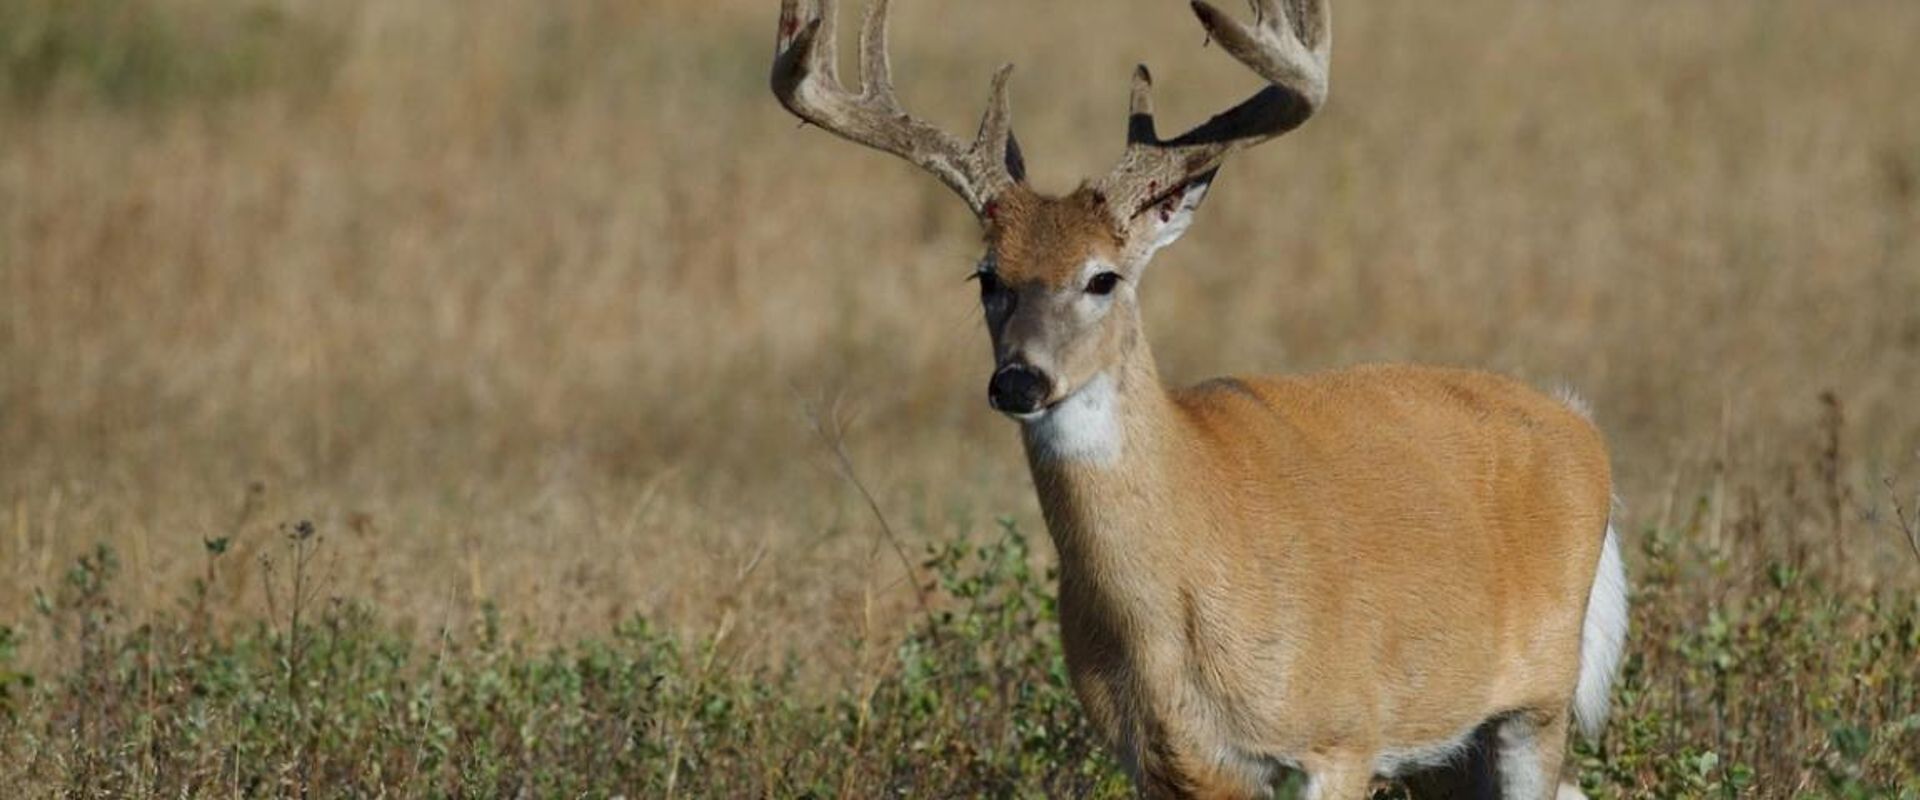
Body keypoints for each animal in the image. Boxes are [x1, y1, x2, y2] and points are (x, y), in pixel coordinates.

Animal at [771, 1, 1628, 797]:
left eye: (1102, 277)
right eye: (986, 277)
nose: (1018, 380)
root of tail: (1581, 424)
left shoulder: (1341, 733)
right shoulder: (1160, 758)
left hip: (1534, 702)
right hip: (1449, 751)